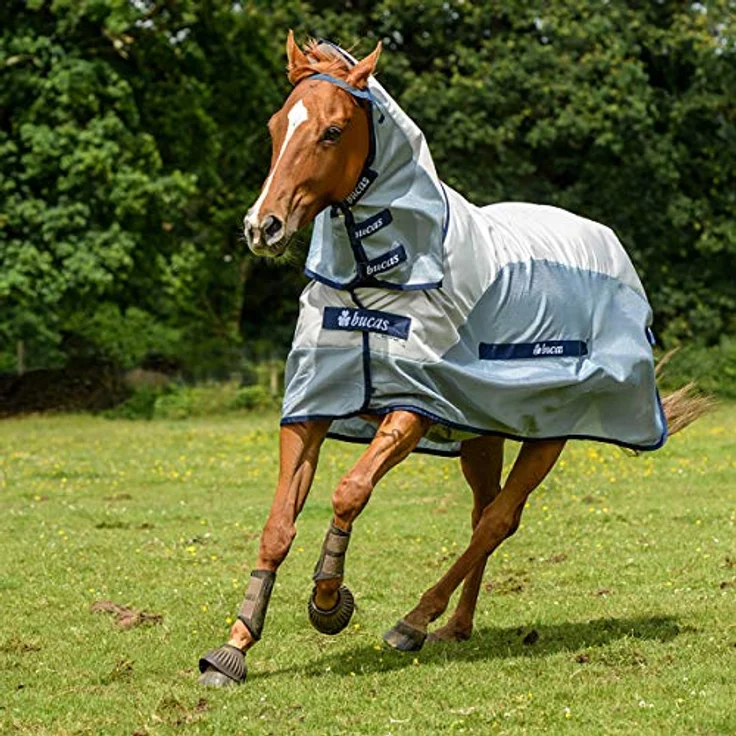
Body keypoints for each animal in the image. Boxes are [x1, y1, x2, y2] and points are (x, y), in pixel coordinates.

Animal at [198, 32, 707, 686]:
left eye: (333, 131)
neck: (375, 275)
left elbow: (349, 492)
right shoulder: (314, 406)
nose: (263, 226)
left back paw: (414, 620)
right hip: (480, 432)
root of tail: (610, 247)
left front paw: (329, 601)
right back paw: (455, 627)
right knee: (483, 514)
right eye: (275, 126)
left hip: (548, 434)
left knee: (498, 521)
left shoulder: (413, 407)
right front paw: (235, 645)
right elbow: (277, 526)